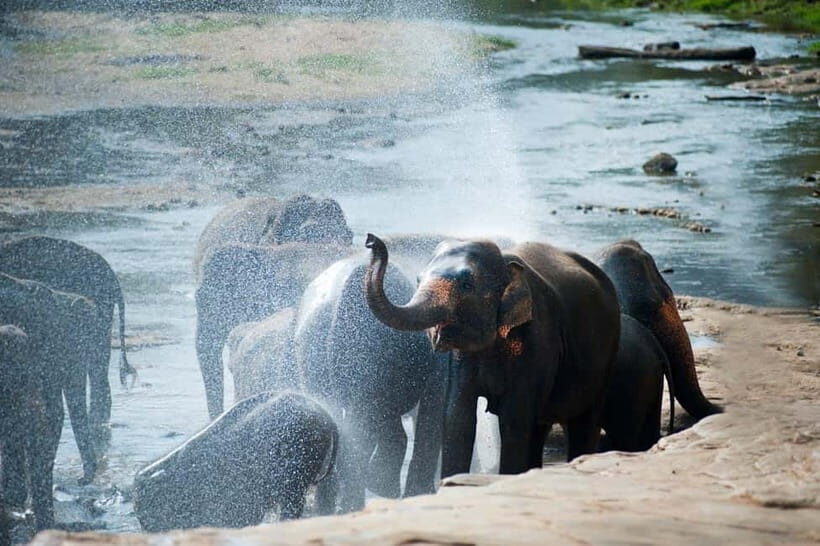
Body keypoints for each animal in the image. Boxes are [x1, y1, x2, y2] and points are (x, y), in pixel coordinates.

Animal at [364, 233, 621, 476]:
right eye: (417, 280)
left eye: (467, 285)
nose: (370, 240)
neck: (505, 262)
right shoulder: (462, 358)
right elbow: (458, 418)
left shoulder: (537, 339)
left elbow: (513, 419)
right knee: (540, 427)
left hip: (608, 355)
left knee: (584, 422)